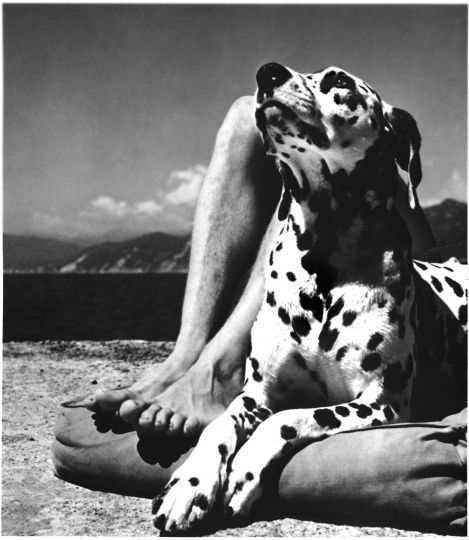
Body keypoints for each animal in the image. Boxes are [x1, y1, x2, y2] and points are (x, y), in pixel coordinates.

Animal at [152, 63, 466, 532]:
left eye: (339, 82)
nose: (267, 72)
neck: (323, 260)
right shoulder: (256, 395)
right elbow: (219, 426)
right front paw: (190, 483)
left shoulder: (381, 404)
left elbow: (292, 418)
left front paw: (244, 471)